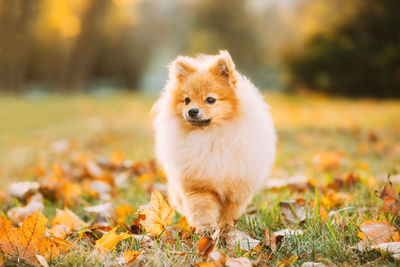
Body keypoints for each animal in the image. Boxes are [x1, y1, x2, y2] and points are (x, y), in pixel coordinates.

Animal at [152, 50, 276, 234]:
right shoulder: (197, 186)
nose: (192, 111)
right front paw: (206, 229)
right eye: (187, 100)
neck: (210, 136)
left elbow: (229, 212)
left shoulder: (236, 189)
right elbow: (201, 209)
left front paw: (225, 228)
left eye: (210, 100)